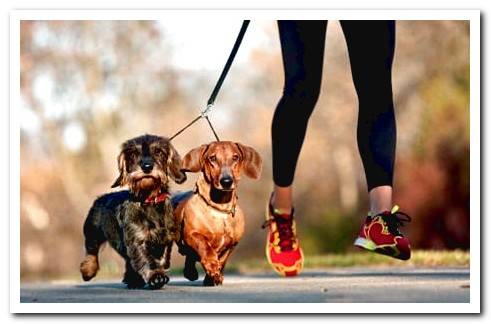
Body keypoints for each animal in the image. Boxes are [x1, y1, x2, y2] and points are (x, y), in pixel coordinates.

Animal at [80, 134, 187, 288]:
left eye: (159, 152)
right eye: (133, 154)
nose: (147, 167)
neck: (149, 201)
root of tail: (99, 199)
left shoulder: (166, 239)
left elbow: (161, 259)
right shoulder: (137, 239)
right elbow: (147, 260)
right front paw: (156, 276)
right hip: (92, 231)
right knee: (91, 251)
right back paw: (88, 270)